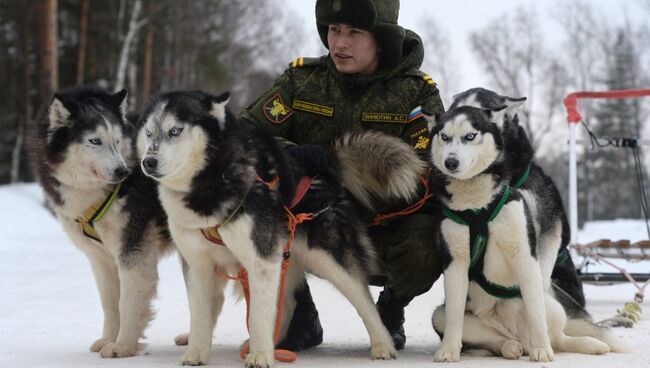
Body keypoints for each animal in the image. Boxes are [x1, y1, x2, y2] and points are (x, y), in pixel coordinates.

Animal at [26, 86, 173, 356]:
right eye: (94, 141)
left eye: (117, 141)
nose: (122, 172)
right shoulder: (101, 258)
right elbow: (110, 302)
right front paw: (108, 339)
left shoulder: (132, 252)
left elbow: (127, 303)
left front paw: (123, 345)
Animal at [137, 90, 420, 366]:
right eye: (149, 133)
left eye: (175, 130)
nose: (148, 162)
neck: (212, 181)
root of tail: (328, 166)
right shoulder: (198, 264)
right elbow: (200, 314)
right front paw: (197, 352)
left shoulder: (260, 260)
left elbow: (258, 316)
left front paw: (261, 357)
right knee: (287, 302)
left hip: (330, 261)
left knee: (364, 302)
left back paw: (383, 346)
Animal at [426, 106, 612, 362]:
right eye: (444, 136)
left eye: (470, 136)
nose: (450, 162)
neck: (477, 206)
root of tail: (518, 335)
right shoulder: (455, 261)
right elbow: (455, 316)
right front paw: (448, 350)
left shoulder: (524, 253)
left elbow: (536, 313)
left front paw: (542, 350)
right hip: (440, 316)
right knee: (493, 340)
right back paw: (509, 347)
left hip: (552, 305)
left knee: (558, 337)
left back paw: (584, 344)